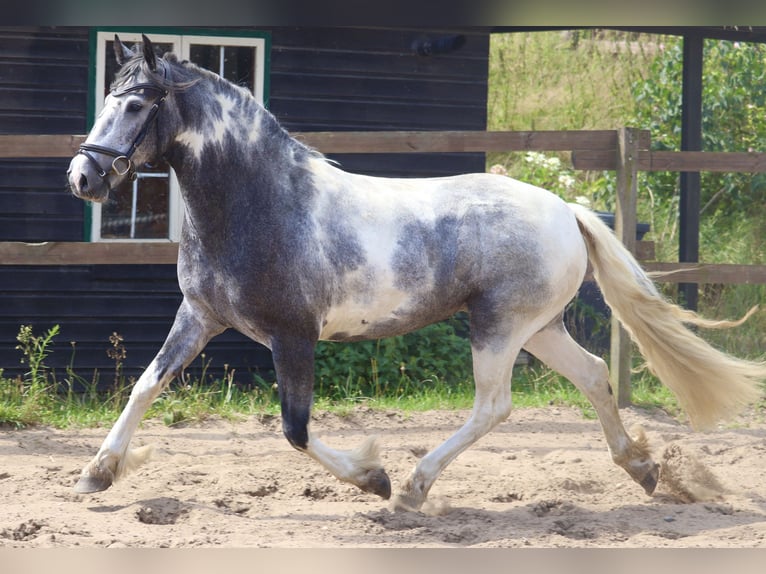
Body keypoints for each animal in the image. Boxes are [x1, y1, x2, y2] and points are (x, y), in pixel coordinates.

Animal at [66, 36, 766, 512]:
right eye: (106, 99)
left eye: (136, 105)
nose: (83, 178)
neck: (261, 203)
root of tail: (566, 209)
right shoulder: (200, 317)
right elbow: (145, 386)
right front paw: (95, 473)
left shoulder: (293, 337)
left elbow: (295, 429)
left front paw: (373, 478)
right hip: (539, 328)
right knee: (593, 375)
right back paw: (642, 470)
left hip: (498, 328)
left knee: (494, 406)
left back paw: (412, 488)